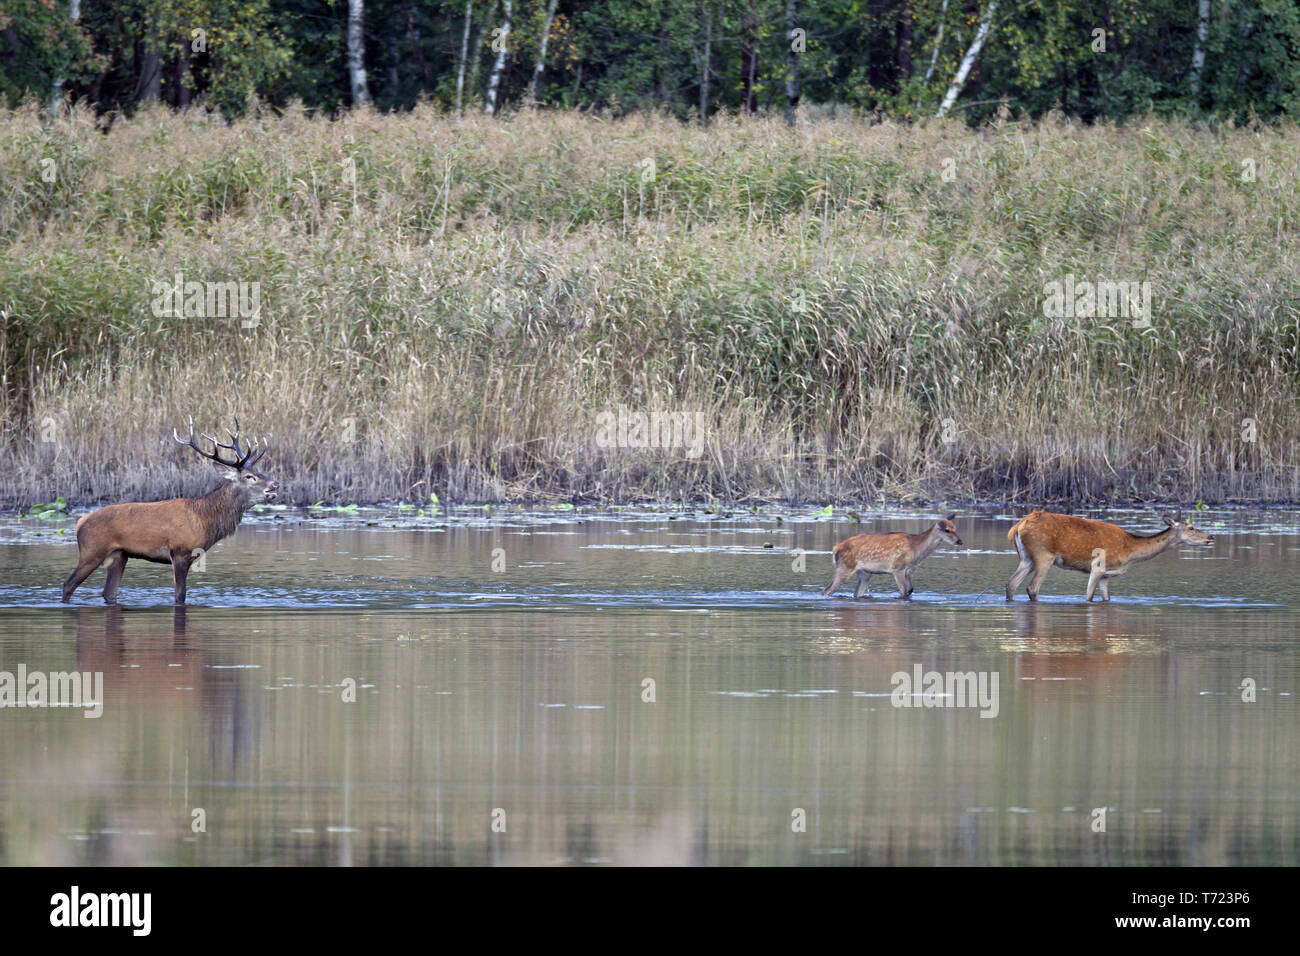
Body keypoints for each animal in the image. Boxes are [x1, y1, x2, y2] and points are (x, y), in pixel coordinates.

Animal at [59, 418, 278, 606]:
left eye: (260, 471)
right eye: (249, 476)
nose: (274, 485)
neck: (203, 519)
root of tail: (80, 522)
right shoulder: (179, 551)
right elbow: (180, 595)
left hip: (119, 555)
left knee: (108, 593)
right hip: (92, 551)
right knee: (68, 584)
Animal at [821, 515, 967, 598]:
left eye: (956, 528)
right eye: (947, 530)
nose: (960, 541)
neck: (916, 550)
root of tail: (835, 549)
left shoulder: (908, 571)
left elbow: (910, 590)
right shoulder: (898, 568)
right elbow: (903, 591)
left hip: (865, 573)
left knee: (856, 593)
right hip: (845, 567)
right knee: (827, 590)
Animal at [1003, 512, 1206, 600]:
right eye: (1191, 527)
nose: (1210, 537)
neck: (1130, 551)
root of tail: (1017, 526)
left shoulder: (1107, 576)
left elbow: (1106, 598)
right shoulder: (1098, 567)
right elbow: (1089, 597)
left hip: (1026, 558)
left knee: (1011, 583)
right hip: (1044, 555)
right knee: (1032, 587)